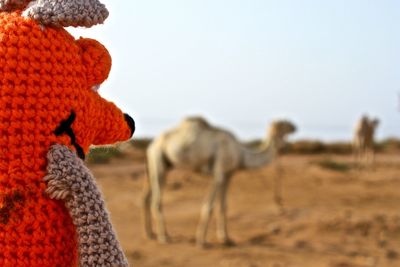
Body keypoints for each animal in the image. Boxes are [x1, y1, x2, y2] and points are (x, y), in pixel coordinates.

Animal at [142, 118, 296, 248]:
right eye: (284, 123)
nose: (295, 126)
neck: (240, 153)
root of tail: (151, 145)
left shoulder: (229, 175)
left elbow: (223, 206)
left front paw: (226, 239)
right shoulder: (219, 173)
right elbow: (209, 206)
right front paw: (201, 241)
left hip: (160, 164)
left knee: (146, 197)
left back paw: (151, 234)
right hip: (158, 159)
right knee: (156, 200)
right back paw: (163, 237)